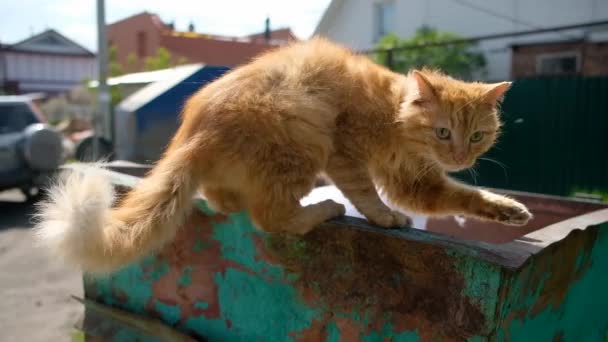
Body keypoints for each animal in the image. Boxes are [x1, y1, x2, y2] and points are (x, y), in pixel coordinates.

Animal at [34, 37, 528, 272]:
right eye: (444, 132)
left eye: (478, 135)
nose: (461, 157)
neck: (393, 114)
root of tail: (194, 133)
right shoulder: (346, 151)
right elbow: (366, 194)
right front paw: (384, 217)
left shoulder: (417, 181)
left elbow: (464, 196)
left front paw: (510, 211)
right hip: (303, 142)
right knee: (270, 217)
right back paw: (323, 208)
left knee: (226, 201)